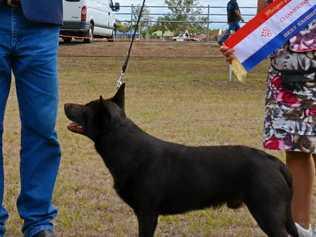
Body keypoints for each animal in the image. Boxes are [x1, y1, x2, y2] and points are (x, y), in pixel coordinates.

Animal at [65, 84, 298, 236]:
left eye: (85, 108)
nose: (66, 104)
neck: (127, 147)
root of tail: (274, 162)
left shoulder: (147, 213)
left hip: (267, 212)